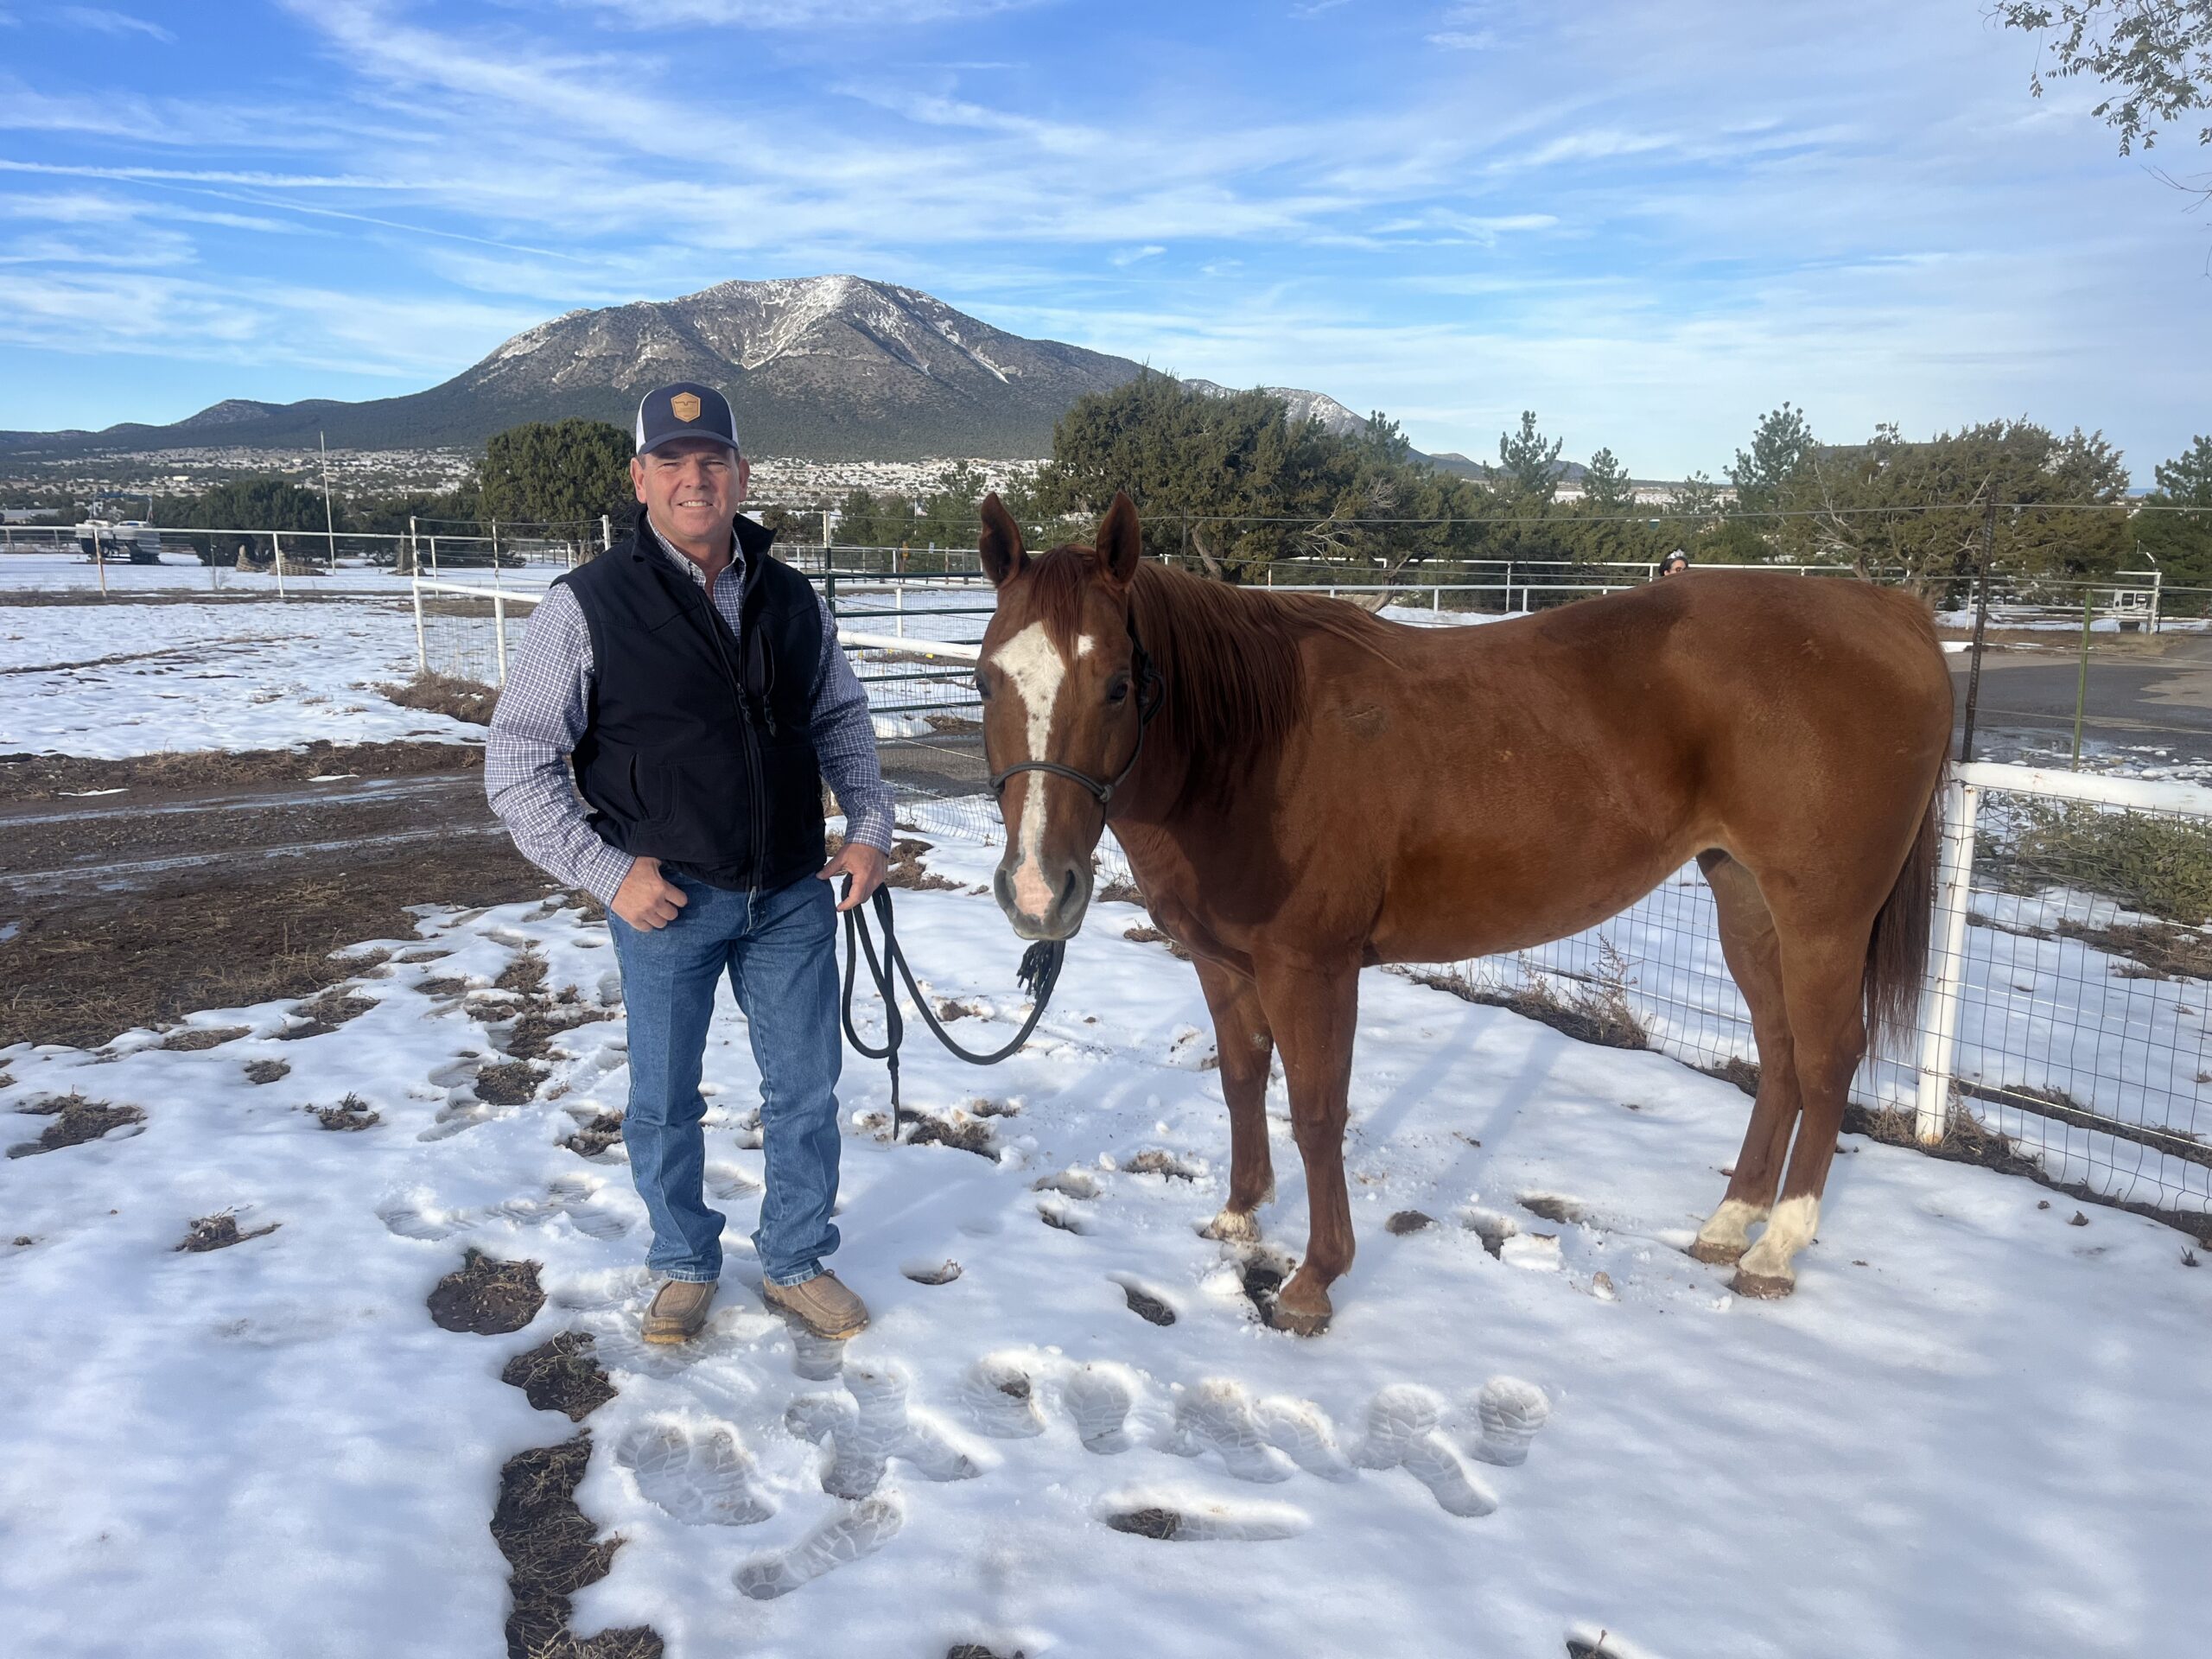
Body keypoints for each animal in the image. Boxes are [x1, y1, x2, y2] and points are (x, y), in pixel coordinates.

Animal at [969, 491, 1953, 1335]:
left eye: (1118, 685)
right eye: (985, 683)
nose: (1039, 889)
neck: (1252, 746)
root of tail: (1893, 615)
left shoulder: (1311, 967)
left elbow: (1317, 1111)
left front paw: (1314, 1280)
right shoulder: (1220, 959)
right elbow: (1243, 1082)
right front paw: (1239, 1215)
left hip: (1823, 917)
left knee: (1828, 1058)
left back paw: (1776, 1251)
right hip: (1744, 898)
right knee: (1781, 1055)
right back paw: (1727, 1226)